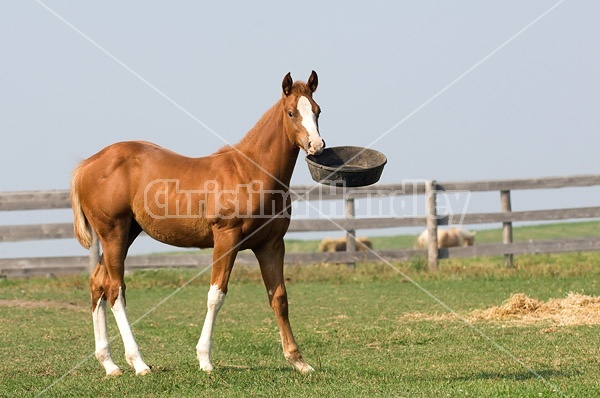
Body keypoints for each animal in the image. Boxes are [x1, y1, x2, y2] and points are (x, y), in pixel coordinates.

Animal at [71, 70, 326, 376]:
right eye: (291, 112)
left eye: (317, 111)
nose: (317, 146)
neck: (250, 172)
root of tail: (87, 165)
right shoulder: (226, 239)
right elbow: (216, 295)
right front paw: (205, 359)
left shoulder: (271, 245)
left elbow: (279, 297)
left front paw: (298, 360)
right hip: (113, 233)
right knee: (114, 289)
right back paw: (138, 362)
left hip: (127, 233)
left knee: (97, 283)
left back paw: (109, 364)